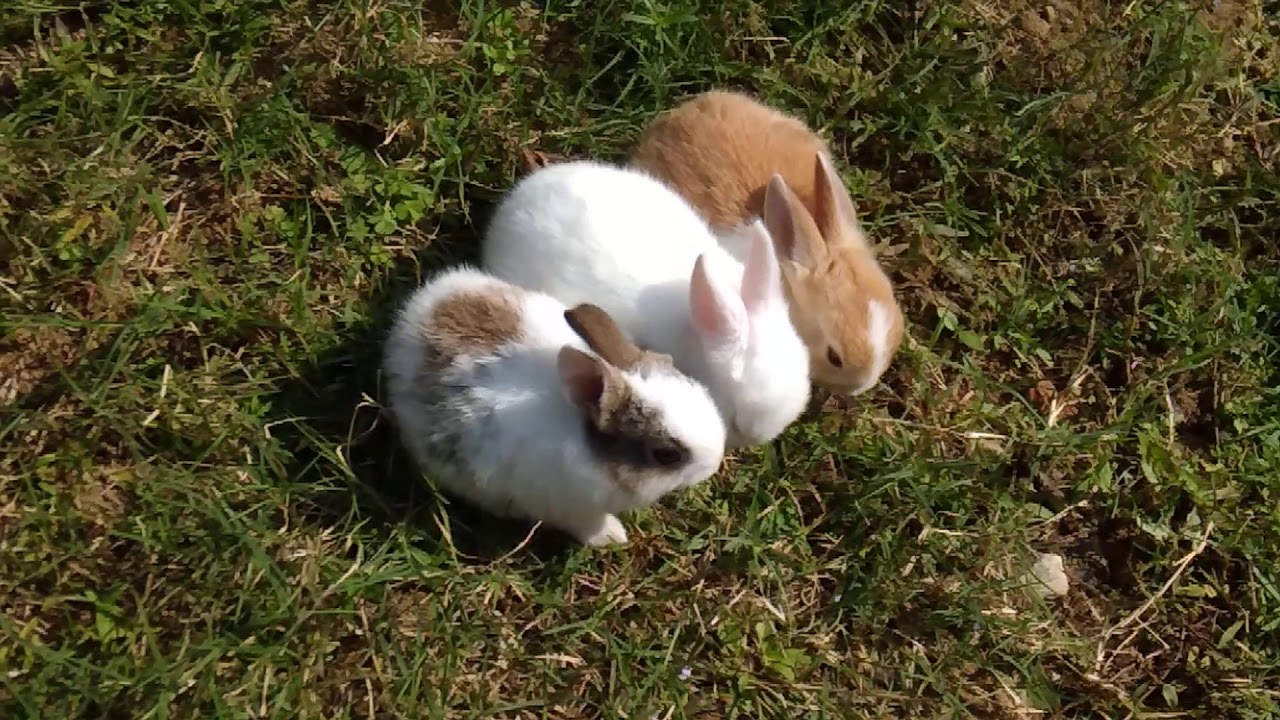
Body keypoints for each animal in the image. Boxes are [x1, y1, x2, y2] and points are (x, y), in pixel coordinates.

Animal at [382, 266, 728, 547]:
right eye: (666, 455)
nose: (714, 463)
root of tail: (416, 315)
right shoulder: (572, 508)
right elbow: (590, 526)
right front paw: (613, 537)